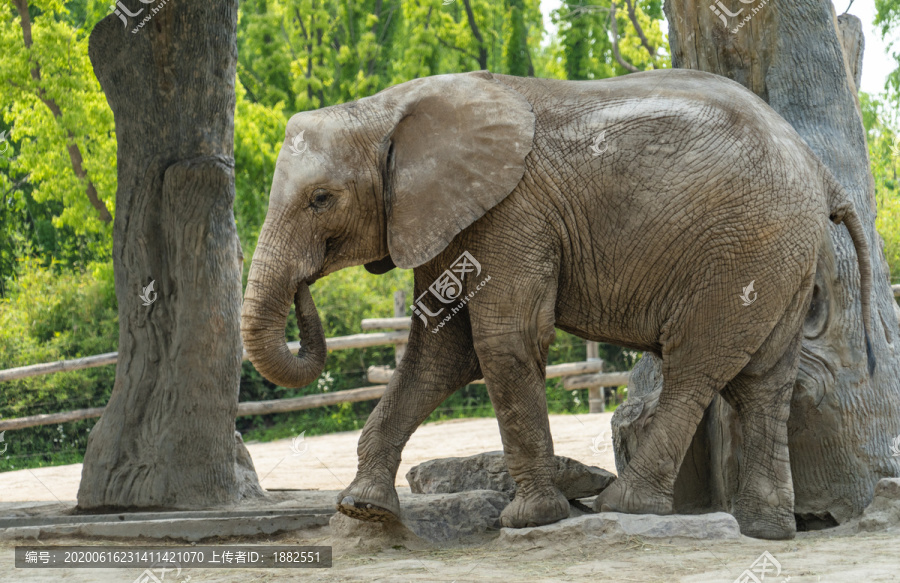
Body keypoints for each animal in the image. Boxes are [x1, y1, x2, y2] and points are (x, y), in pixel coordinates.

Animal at [241, 69, 872, 544]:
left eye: (322, 199)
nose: (304, 288)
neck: (385, 108)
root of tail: (818, 168)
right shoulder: (442, 216)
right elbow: (437, 353)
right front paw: (362, 510)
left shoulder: (511, 213)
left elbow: (502, 341)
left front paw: (528, 521)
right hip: (783, 254)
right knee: (766, 382)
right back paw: (767, 532)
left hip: (746, 249)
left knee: (697, 367)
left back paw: (626, 505)